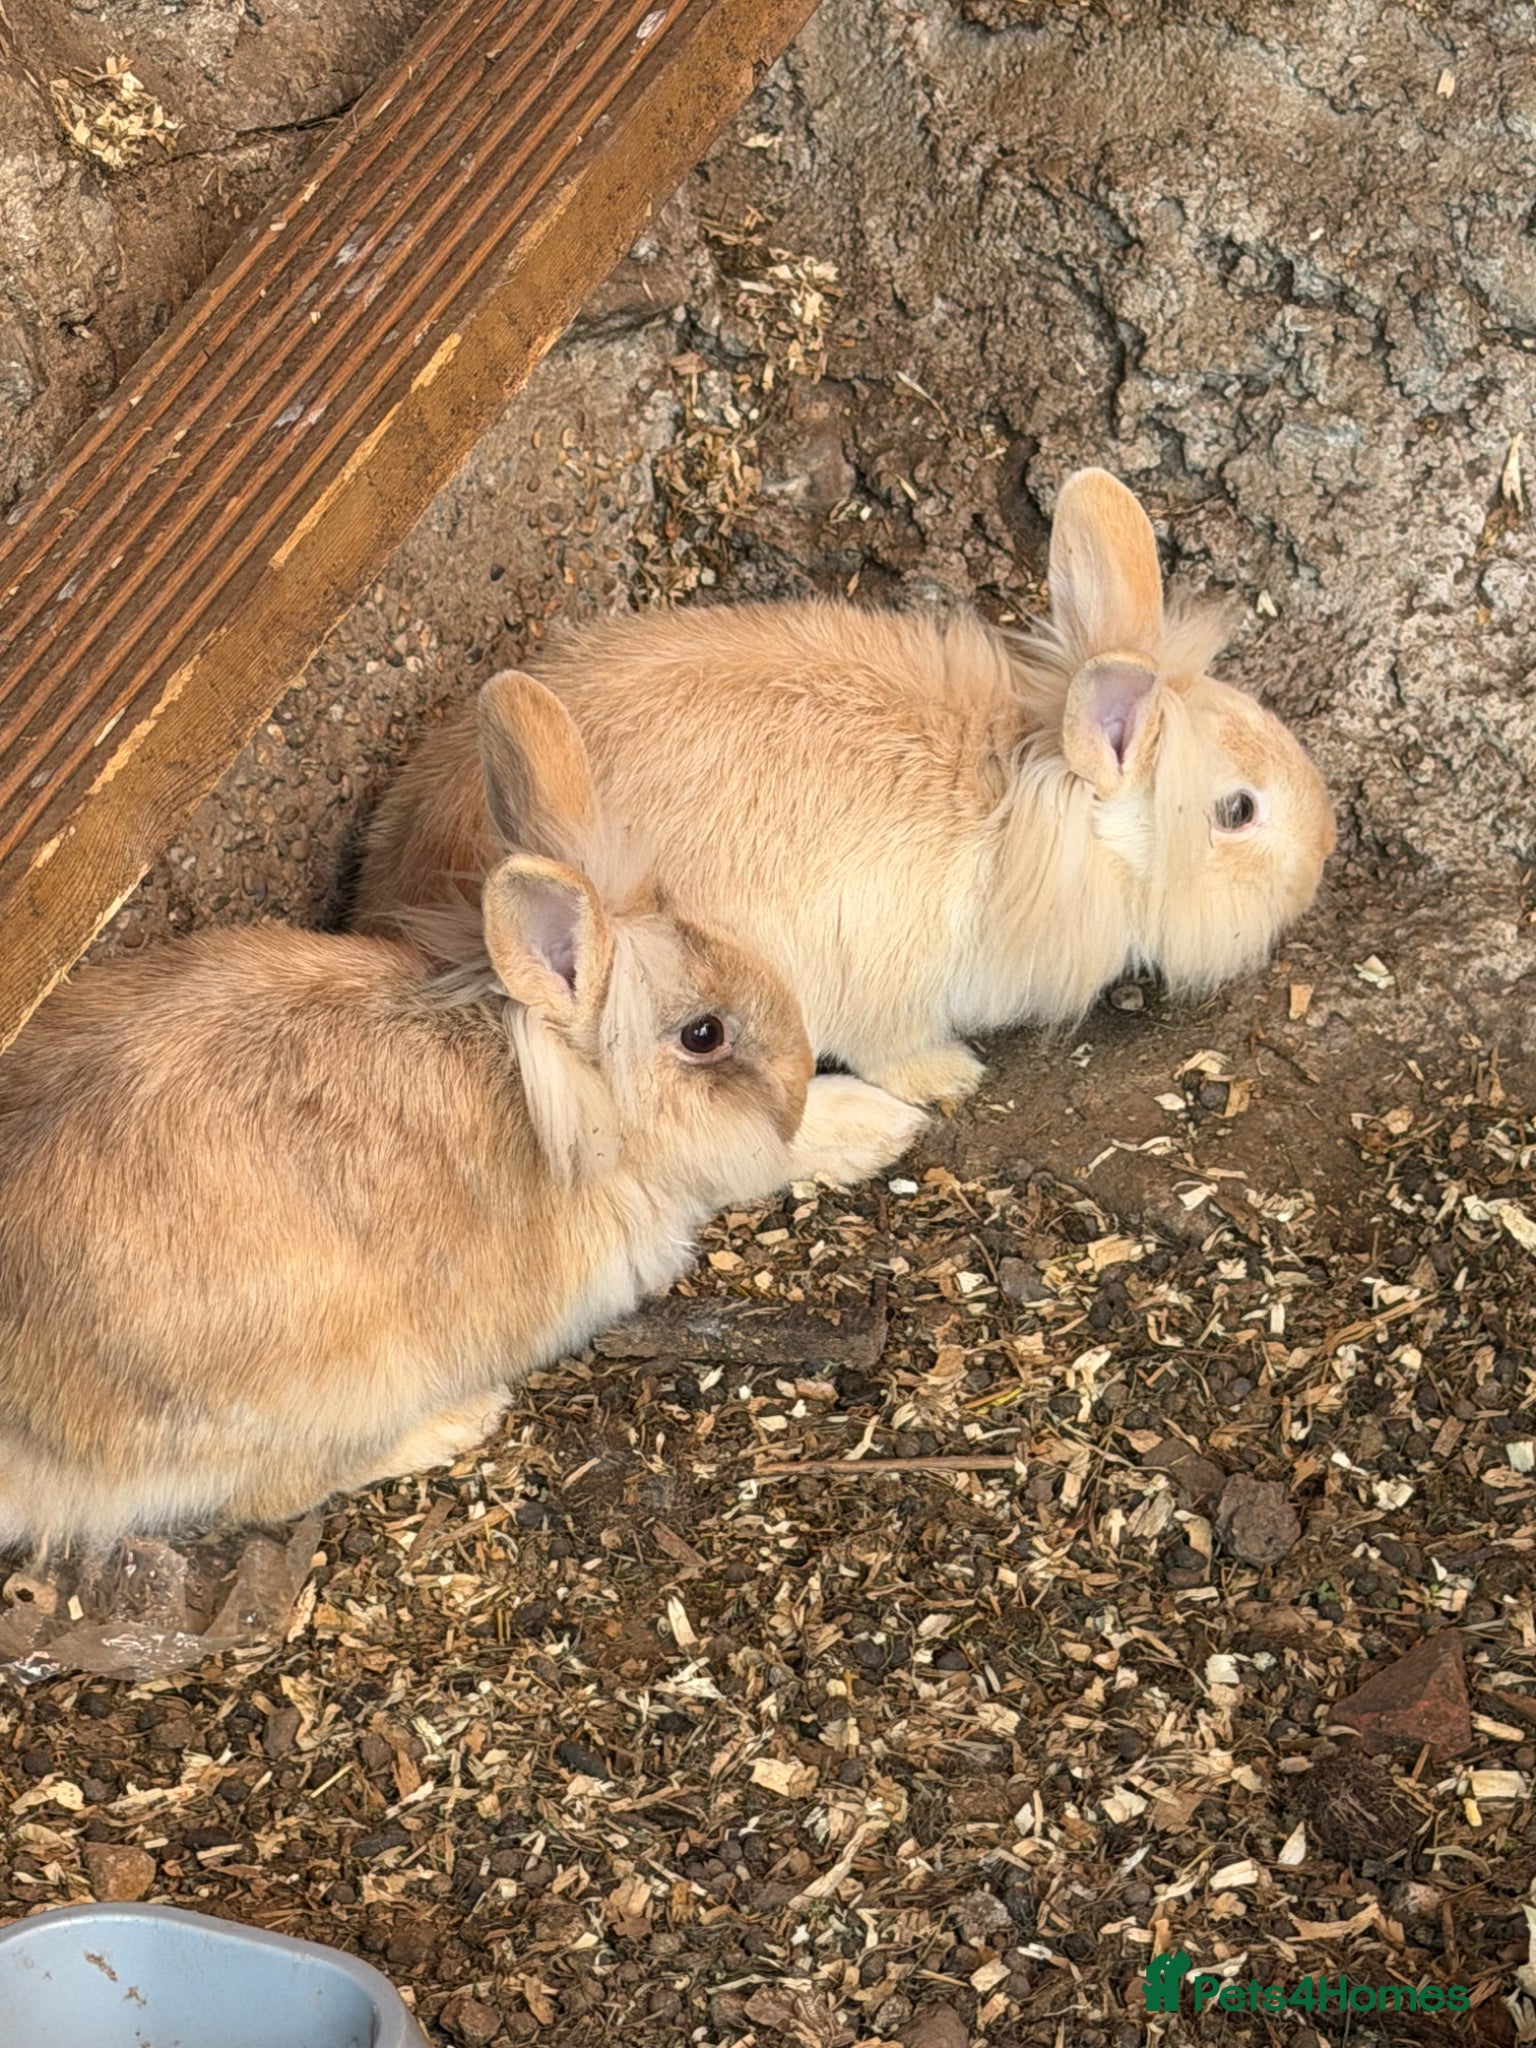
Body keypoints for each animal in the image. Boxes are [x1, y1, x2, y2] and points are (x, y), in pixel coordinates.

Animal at [0, 672, 925, 1552]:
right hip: (334, 1389)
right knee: (272, 1495)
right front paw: (878, 1124)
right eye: (705, 1034)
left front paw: (879, 1121)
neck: (569, 1093)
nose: (797, 1076)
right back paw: (460, 1420)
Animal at [354, 467, 1336, 1108]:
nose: (1321, 862)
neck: (1021, 807)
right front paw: (950, 1078)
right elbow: (887, 1048)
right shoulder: (885, 980)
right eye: (1238, 810)